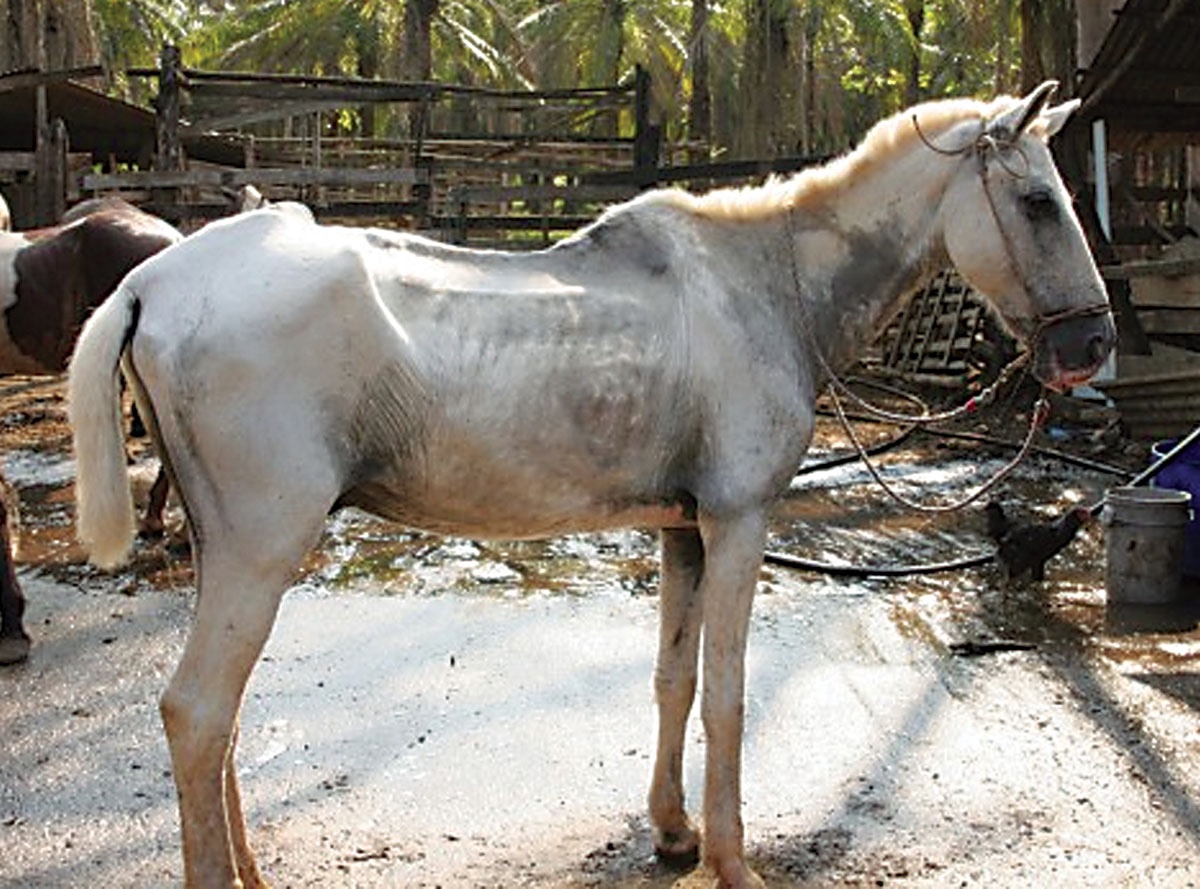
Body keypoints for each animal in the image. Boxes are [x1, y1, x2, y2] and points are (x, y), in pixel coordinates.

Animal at [65, 83, 1113, 887]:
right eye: (1036, 202)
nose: (1093, 345)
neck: (762, 285)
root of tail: (151, 282)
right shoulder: (739, 522)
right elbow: (728, 695)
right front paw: (732, 858)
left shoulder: (685, 528)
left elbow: (675, 680)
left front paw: (675, 831)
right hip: (262, 550)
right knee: (198, 714)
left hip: (226, 553)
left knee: (221, 723)